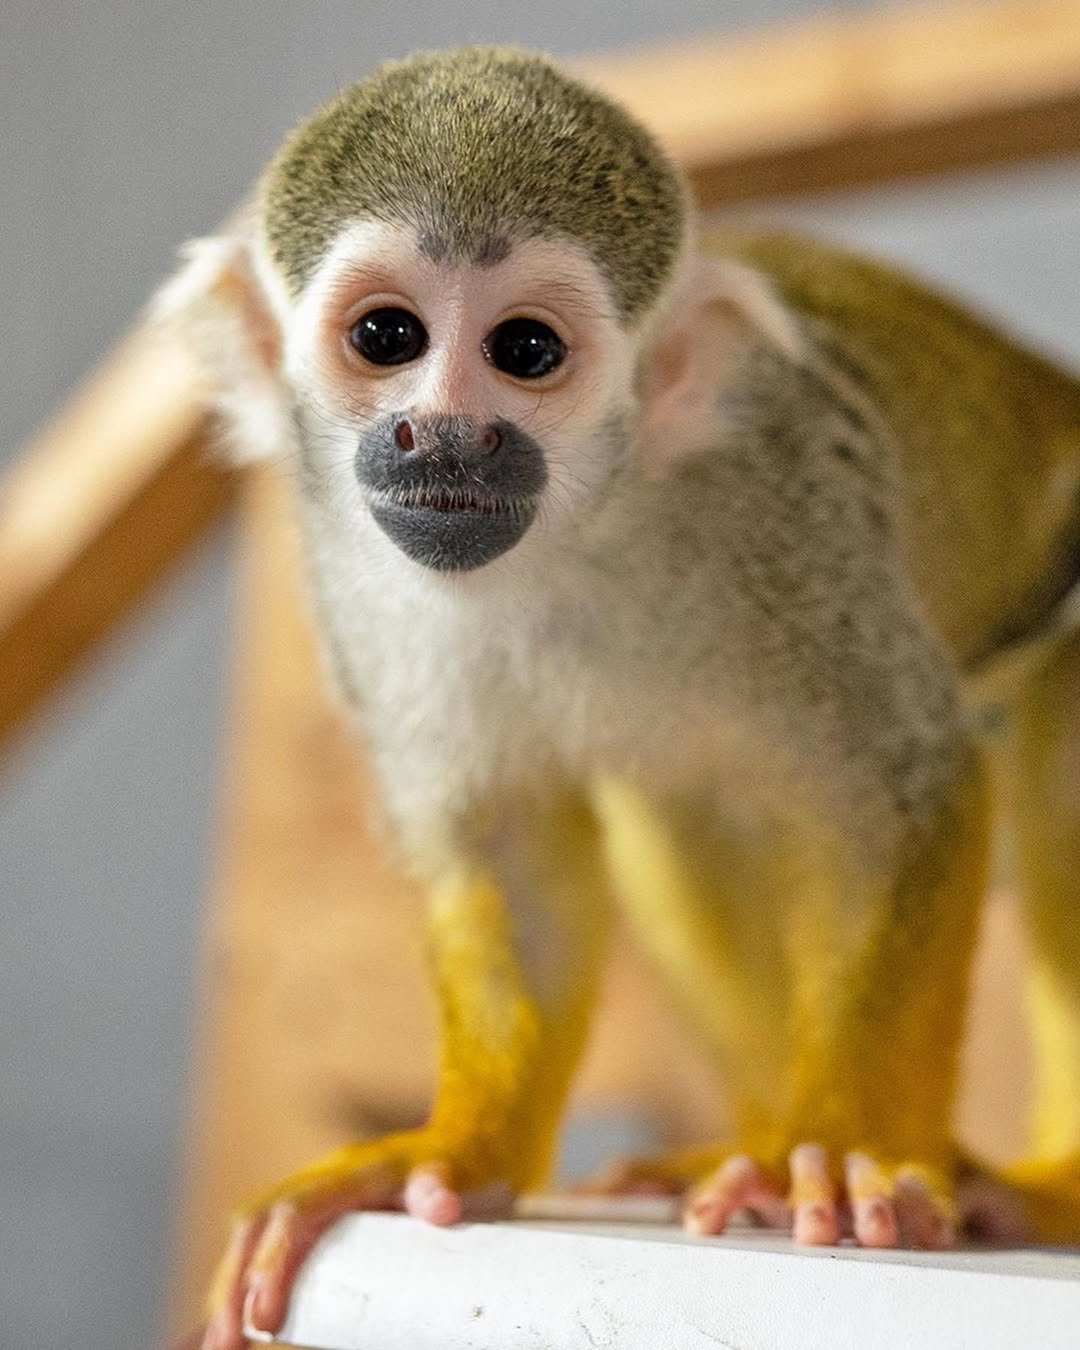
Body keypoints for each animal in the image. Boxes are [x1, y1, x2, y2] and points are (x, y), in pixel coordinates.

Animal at [157, 45, 1080, 1350]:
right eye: (387, 335)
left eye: (526, 352)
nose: (446, 434)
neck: (574, 531)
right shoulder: (346, 568)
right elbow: (508, 846)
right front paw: (453, 1152)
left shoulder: (787, 506)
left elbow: (899, 796)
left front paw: (844, 1149)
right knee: (679, 807)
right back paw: (746, 1145)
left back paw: (1036, 1188)